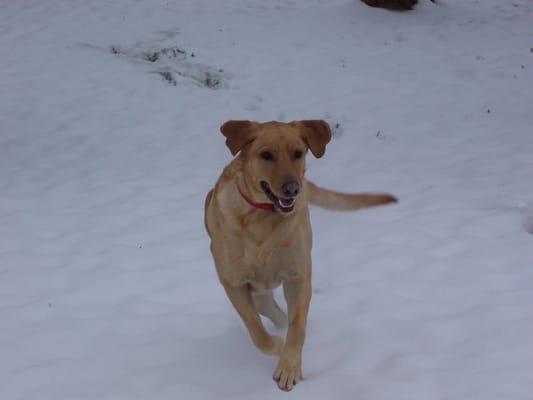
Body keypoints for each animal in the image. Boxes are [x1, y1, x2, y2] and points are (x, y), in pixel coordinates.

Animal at [204, 119, 394, 390]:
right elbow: (257, 331)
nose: (292, 189)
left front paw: (289, 366)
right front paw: (277, 347)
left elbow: (297, 327)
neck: (261, 218)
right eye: (266, 155)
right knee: (272, 313)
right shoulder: (234, 283)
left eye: (298, 153)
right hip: (258, 294)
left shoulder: (298, 276)